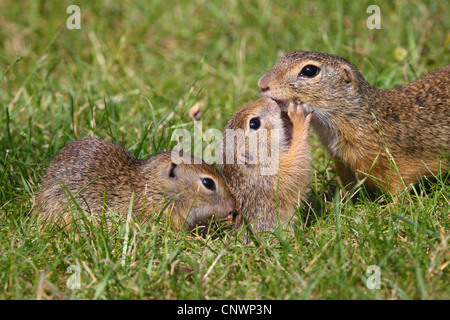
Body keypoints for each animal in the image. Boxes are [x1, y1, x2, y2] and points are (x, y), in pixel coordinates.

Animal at [258, 51, 448, 194]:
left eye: (309, 70)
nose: (262, 84)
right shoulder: (342, 163)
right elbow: (347, 187)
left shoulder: (394, 165)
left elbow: (399, 189)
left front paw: (392, 212)